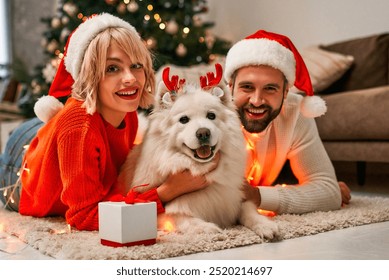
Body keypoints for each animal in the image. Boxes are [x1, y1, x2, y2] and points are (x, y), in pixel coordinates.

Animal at [116, 64, 278, 240]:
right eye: (184, 120)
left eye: (211, 115)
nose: (203, 133)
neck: (199, 169)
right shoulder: (163, 213)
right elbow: (185, 219)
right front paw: (210, 229)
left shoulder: (236, 198)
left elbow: (249, 211)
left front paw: (266, 226)